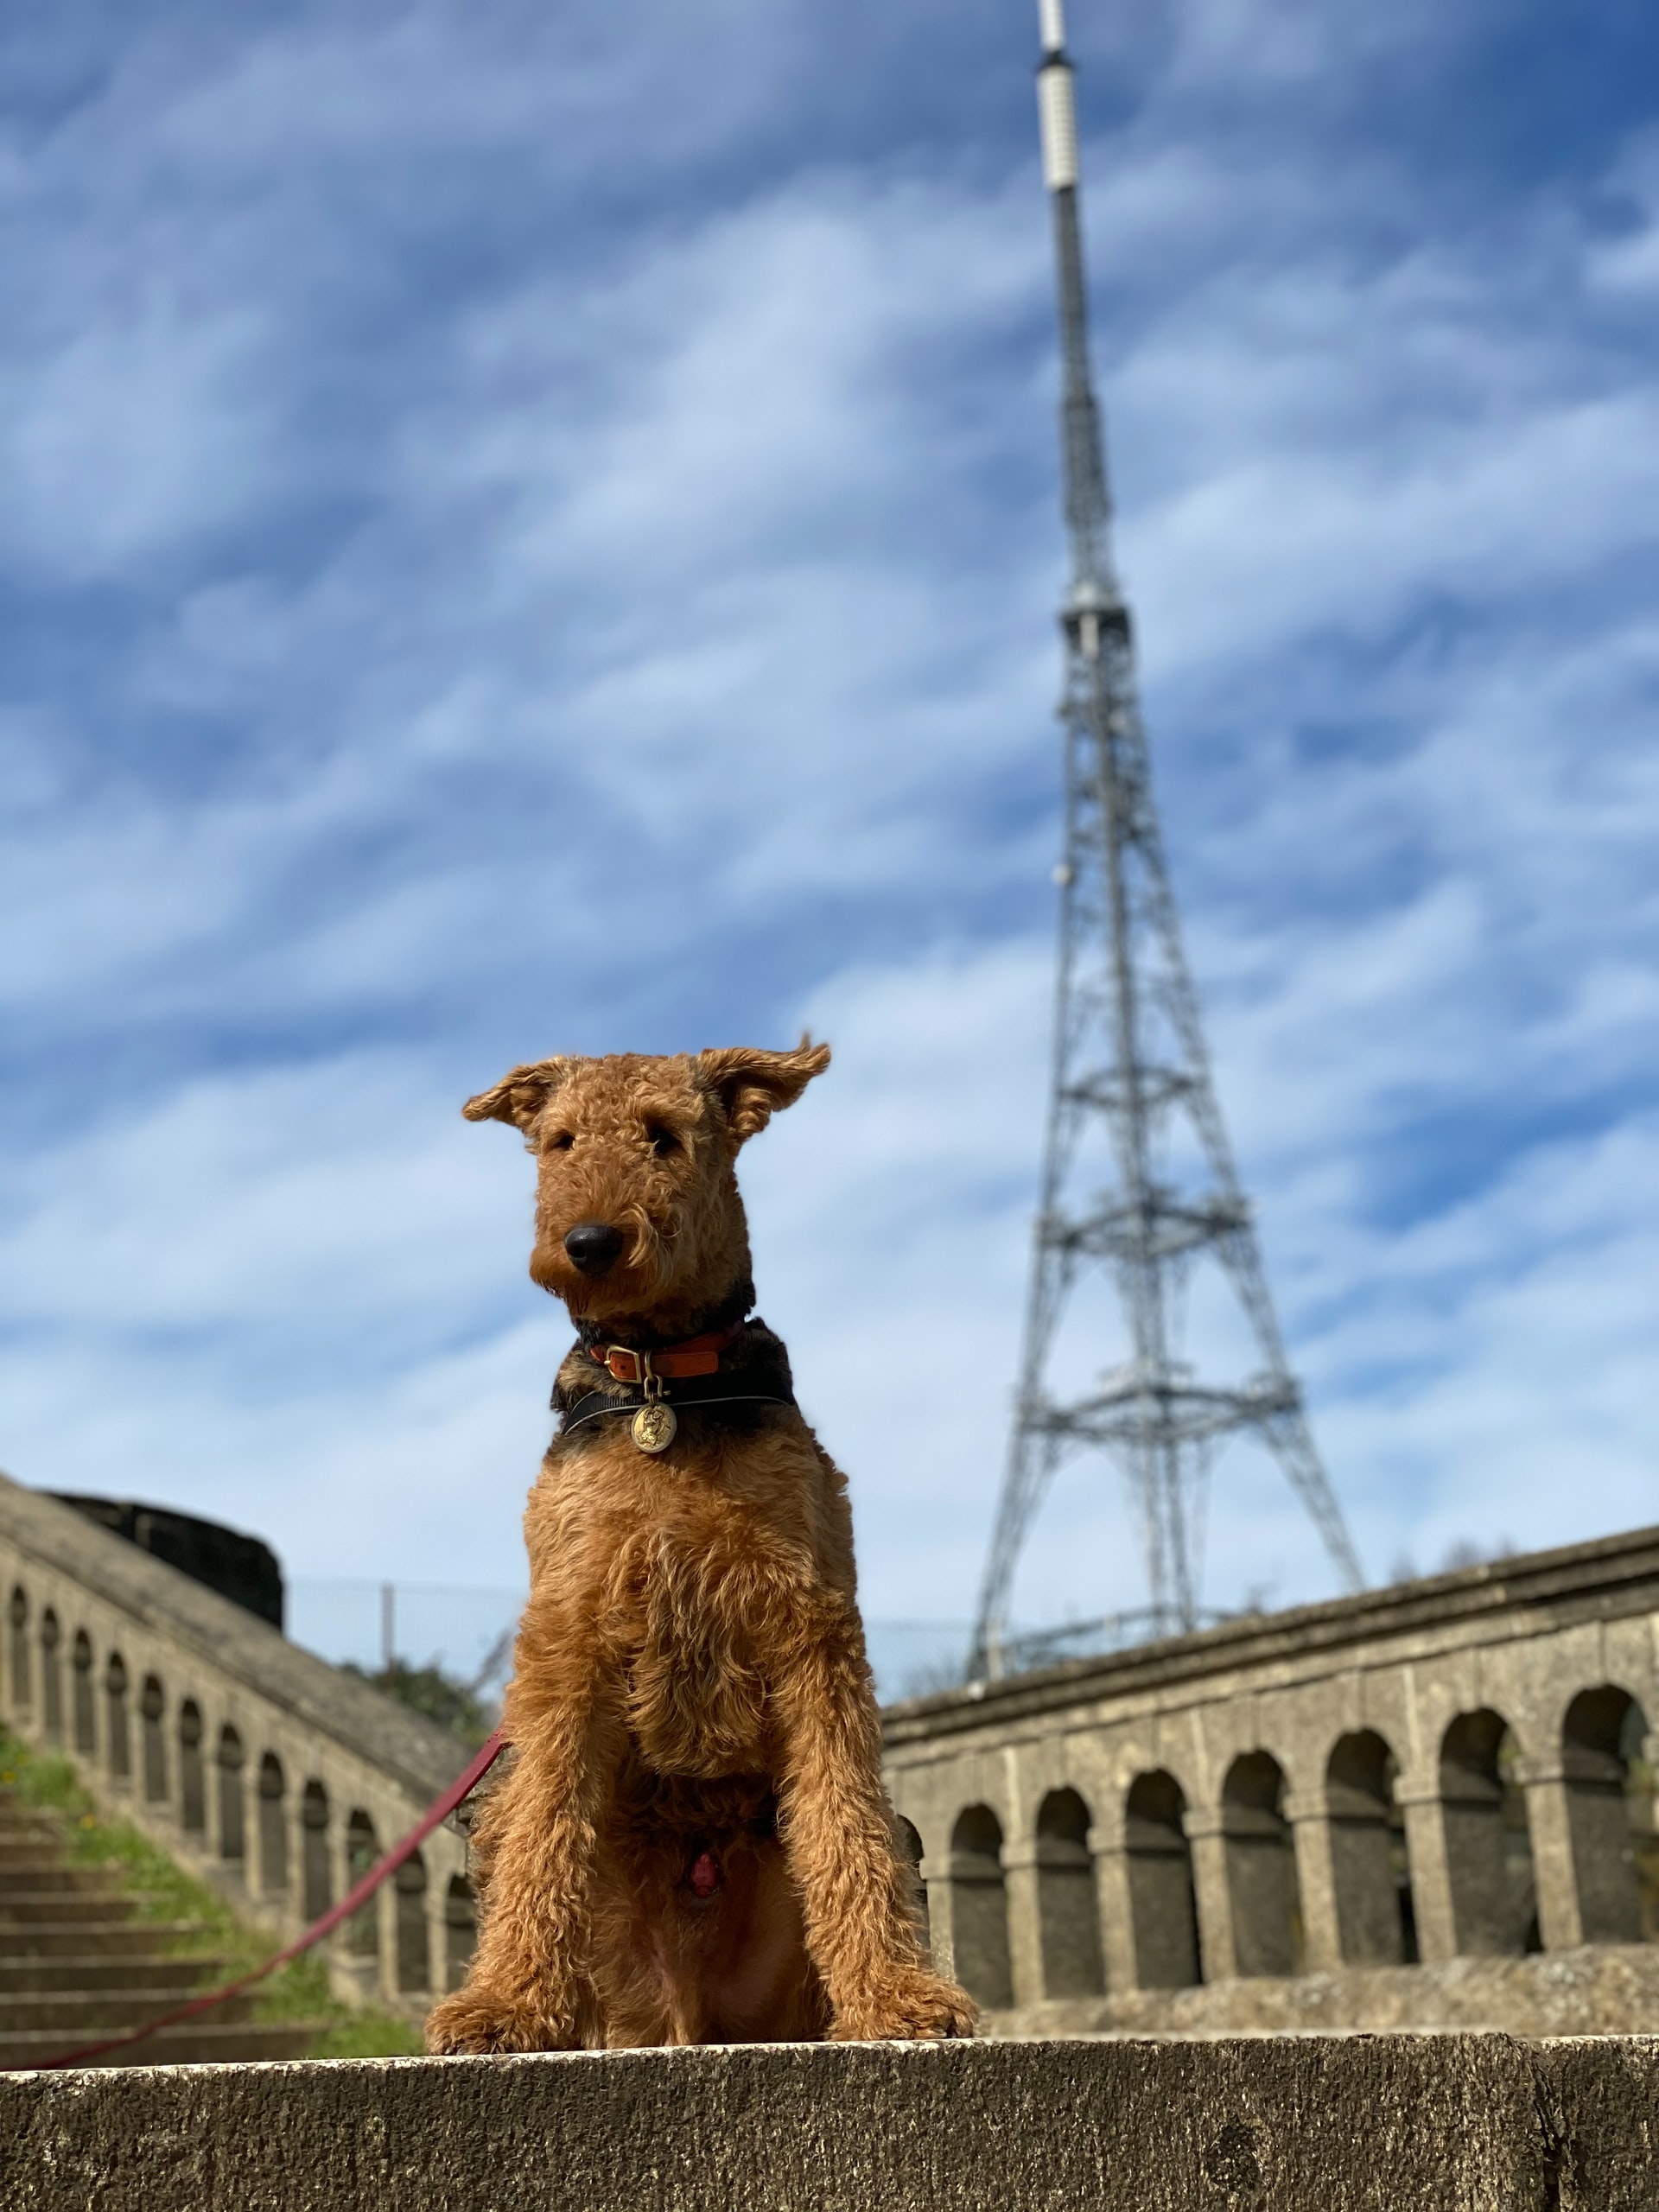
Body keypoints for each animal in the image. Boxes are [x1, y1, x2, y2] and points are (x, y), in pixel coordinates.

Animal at [422, 1044, 982, 2044]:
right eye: (561, 1141)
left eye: (663, 1136)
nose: (591, 1244)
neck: (664, 1384)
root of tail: (694, 2013)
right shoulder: (570, 1629)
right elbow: (547, 1828)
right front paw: (505, 2005)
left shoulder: (809, 1622)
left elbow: (843, 1820)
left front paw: (895, 1997)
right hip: (535, 1859)